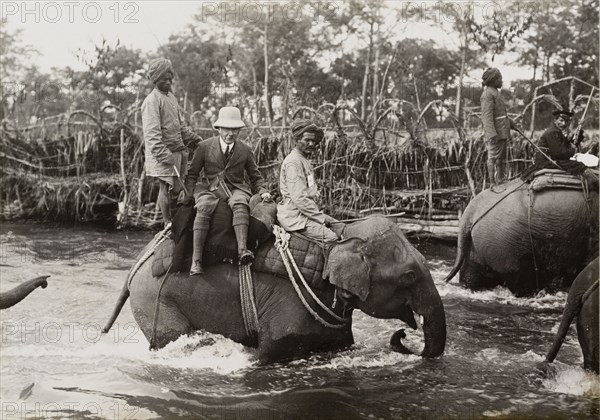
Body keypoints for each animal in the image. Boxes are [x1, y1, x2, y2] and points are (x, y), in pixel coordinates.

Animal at [104, 217, 446, 364]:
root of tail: (136, 266)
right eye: (409, 275)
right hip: (155, 301)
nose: (402, 335)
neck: (340, 237)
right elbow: (268, 354)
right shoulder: (289, 307)